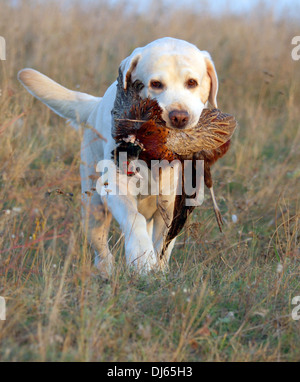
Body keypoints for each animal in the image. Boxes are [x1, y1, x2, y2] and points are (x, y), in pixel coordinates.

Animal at [18, 37, 218, 278]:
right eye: (156, 84)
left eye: (192, 82)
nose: (178, 117)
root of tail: (95, 105)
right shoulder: (116, 186)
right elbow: (134, 219)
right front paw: (141, 258)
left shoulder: (171, 204)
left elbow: (164, 243)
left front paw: (158, 271)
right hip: (93, 208)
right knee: (101, 251)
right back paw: (107, 272)